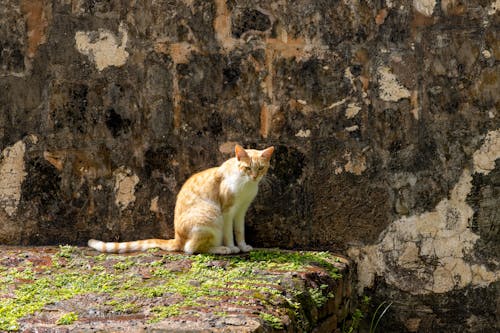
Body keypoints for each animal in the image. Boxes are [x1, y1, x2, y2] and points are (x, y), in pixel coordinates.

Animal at [86, 143, 274, 254]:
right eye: (248, 168)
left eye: (260, 168)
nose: (255, 177)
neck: (246, 184)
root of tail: (177, 237)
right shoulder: (227, 212)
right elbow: (229, 233)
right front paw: (233, 247)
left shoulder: (241, 211)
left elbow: (240, 231)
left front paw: (242, 246)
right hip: (212, 215)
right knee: (190, 248)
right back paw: (221, 249)